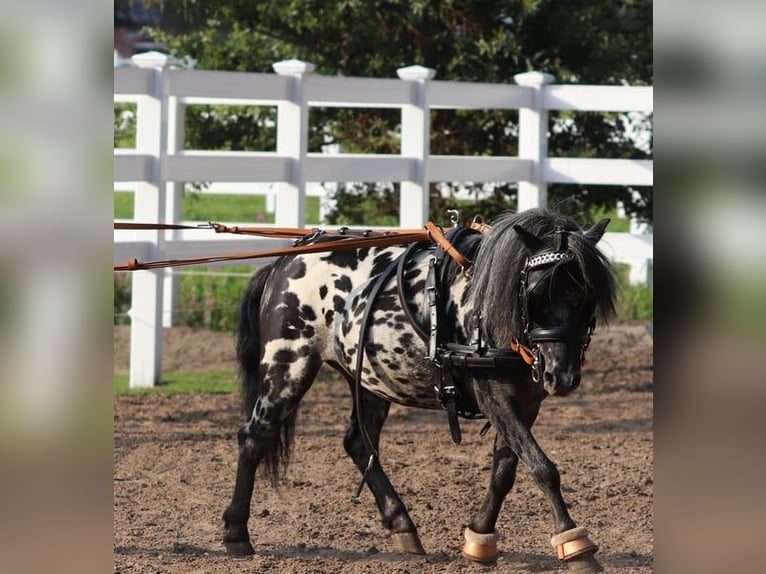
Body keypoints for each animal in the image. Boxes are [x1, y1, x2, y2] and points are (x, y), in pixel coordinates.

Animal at [222, 207, 617, 573]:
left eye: (586, 296)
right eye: (534, 293)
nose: (560, 376)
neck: (488, 311)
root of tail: (284, 262)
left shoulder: (526, 403)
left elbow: (505, 471)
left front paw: (479, 539)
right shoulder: (494, 397)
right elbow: (542, 467)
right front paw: (576, 545)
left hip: (370, 378)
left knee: (357, 443)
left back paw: (402, 523)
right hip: (289, 367)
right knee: (253, 437)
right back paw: (237, 533)